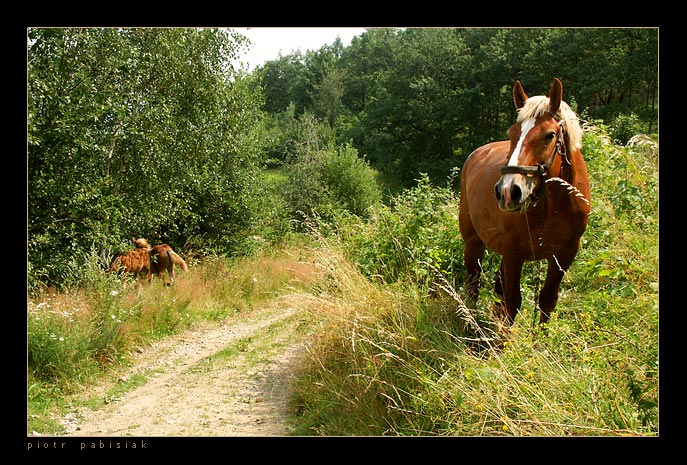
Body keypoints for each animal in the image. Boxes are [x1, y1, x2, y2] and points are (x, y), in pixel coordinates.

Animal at [460, 79, 588, 326]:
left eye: (549, 135)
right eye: (512, 133)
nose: (508, 191)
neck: (553, 206)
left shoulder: (564, 254)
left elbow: (547, 300)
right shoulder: (514, 253)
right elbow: (512, 301)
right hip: (473, 241)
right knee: (473, 281)